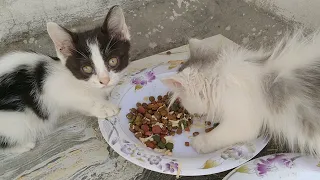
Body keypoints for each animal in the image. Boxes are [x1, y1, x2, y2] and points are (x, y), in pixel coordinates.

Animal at [0, 5, 131, 153]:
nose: (105, 80)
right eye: (87, 68)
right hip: (15, 121)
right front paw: (105, 107)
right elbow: (80, 99)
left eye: (113, 61)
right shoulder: (51, 88)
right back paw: (24, 145)